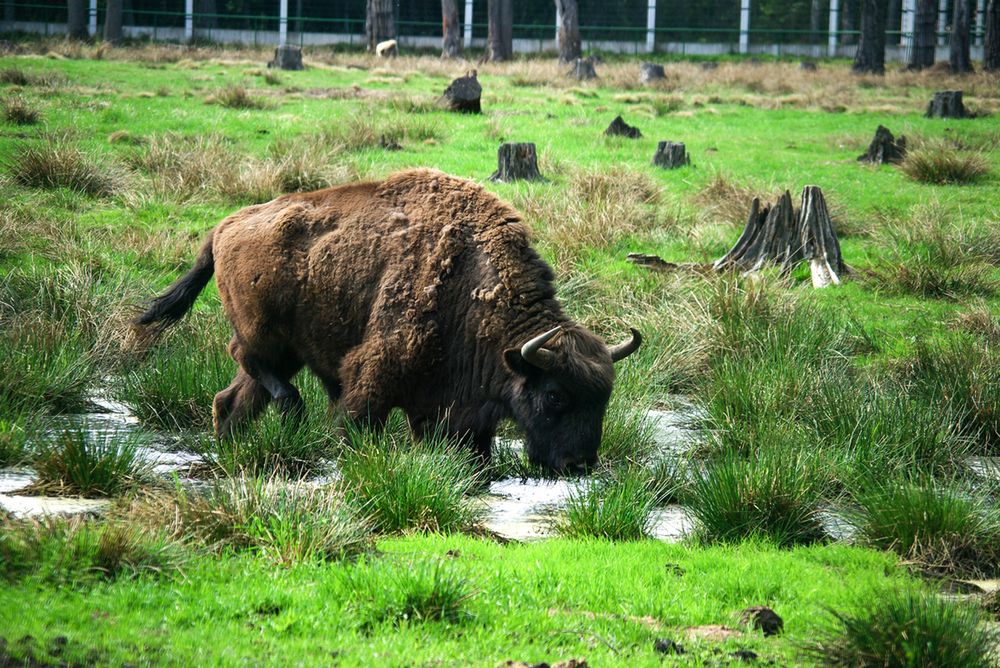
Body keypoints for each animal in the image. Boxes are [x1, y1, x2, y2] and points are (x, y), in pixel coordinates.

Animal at [135, 168, 640, 470]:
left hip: (285, 351)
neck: (472, 283)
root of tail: (223, 227)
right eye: (555, 395)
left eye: (603, 399)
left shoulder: (454, 413)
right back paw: (292, 409)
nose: (579, 464)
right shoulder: (372, 378)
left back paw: (234, 445)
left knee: (233, 399)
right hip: (265, 335)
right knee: (247, 360)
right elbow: (354, 422)